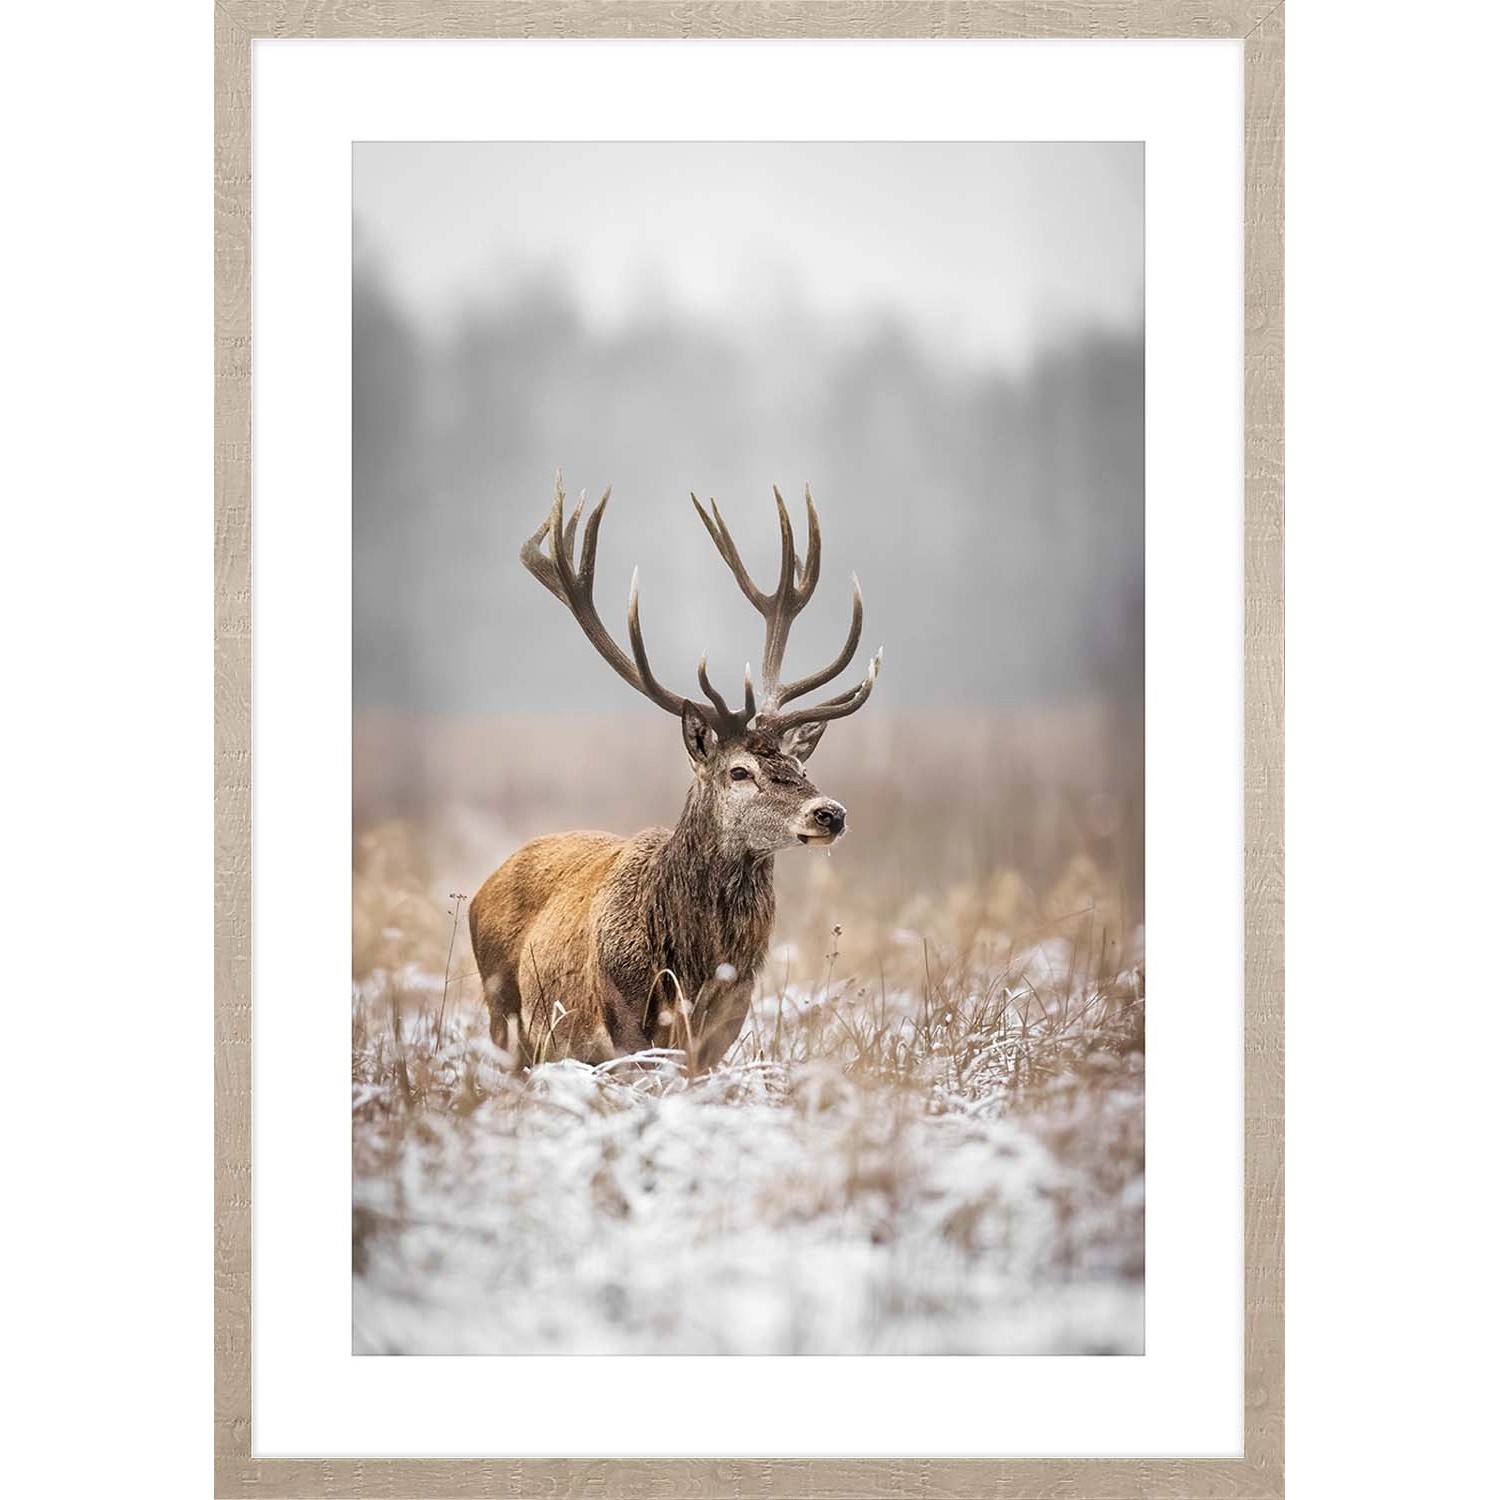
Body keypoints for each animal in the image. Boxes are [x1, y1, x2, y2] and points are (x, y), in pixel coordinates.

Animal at [469, 474, 881, 1069]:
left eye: (799, 762)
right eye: (739, 772)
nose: (830, 813)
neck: (691, 969)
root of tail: (482, 888)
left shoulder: (719, 1034)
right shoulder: (622, 1032)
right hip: (503, 1014)